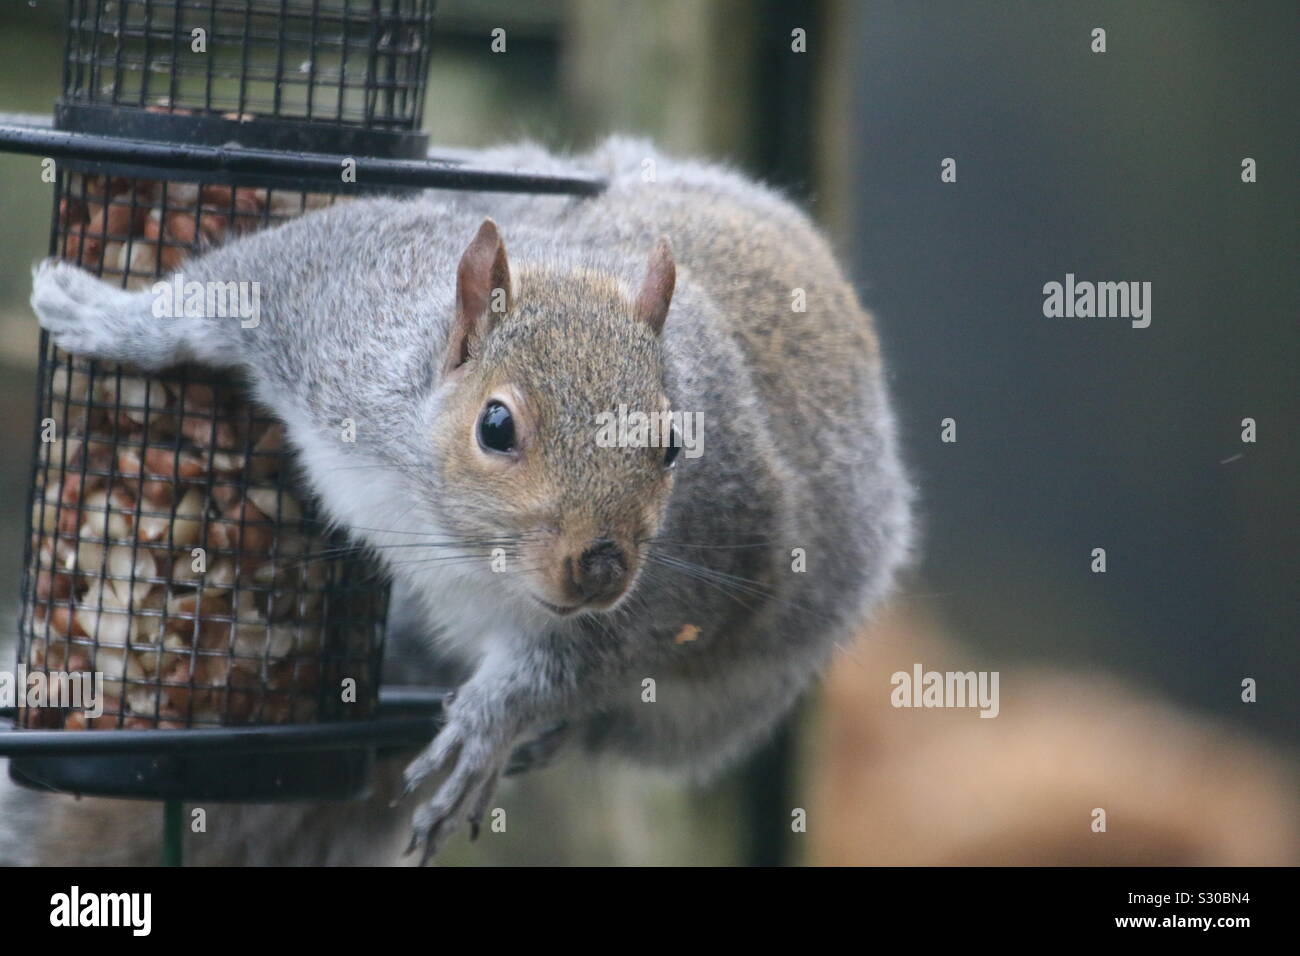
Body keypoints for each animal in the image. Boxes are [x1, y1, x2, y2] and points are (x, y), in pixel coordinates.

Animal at [29, 137, 914, 861]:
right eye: (496, 426)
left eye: (673, 444)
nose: (599, 569)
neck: (439, 517)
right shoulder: (341, 314)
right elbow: (234, 288)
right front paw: (110, 316)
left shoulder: (695, 570)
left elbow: (580, 661)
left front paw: (490, 725)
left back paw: (538, 736)